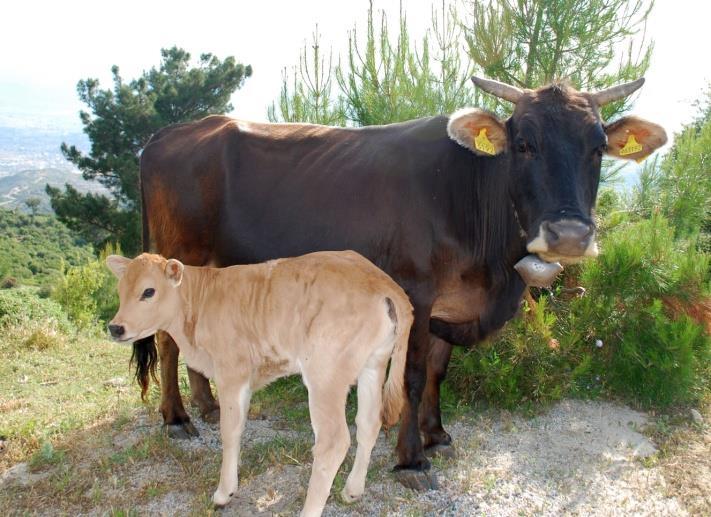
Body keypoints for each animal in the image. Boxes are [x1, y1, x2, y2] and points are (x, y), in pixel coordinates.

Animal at [108, 251, 414, 516]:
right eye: (120, 291)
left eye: (148, 291)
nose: (115, 327)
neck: (200, 301)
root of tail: (379, 280)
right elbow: (240, 426)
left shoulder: (231, 371)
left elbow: (229, 430)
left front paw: (224, 492)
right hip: (373, 365)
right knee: (368, 423)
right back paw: (353, 490)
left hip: (325, 374)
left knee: (333, 441)